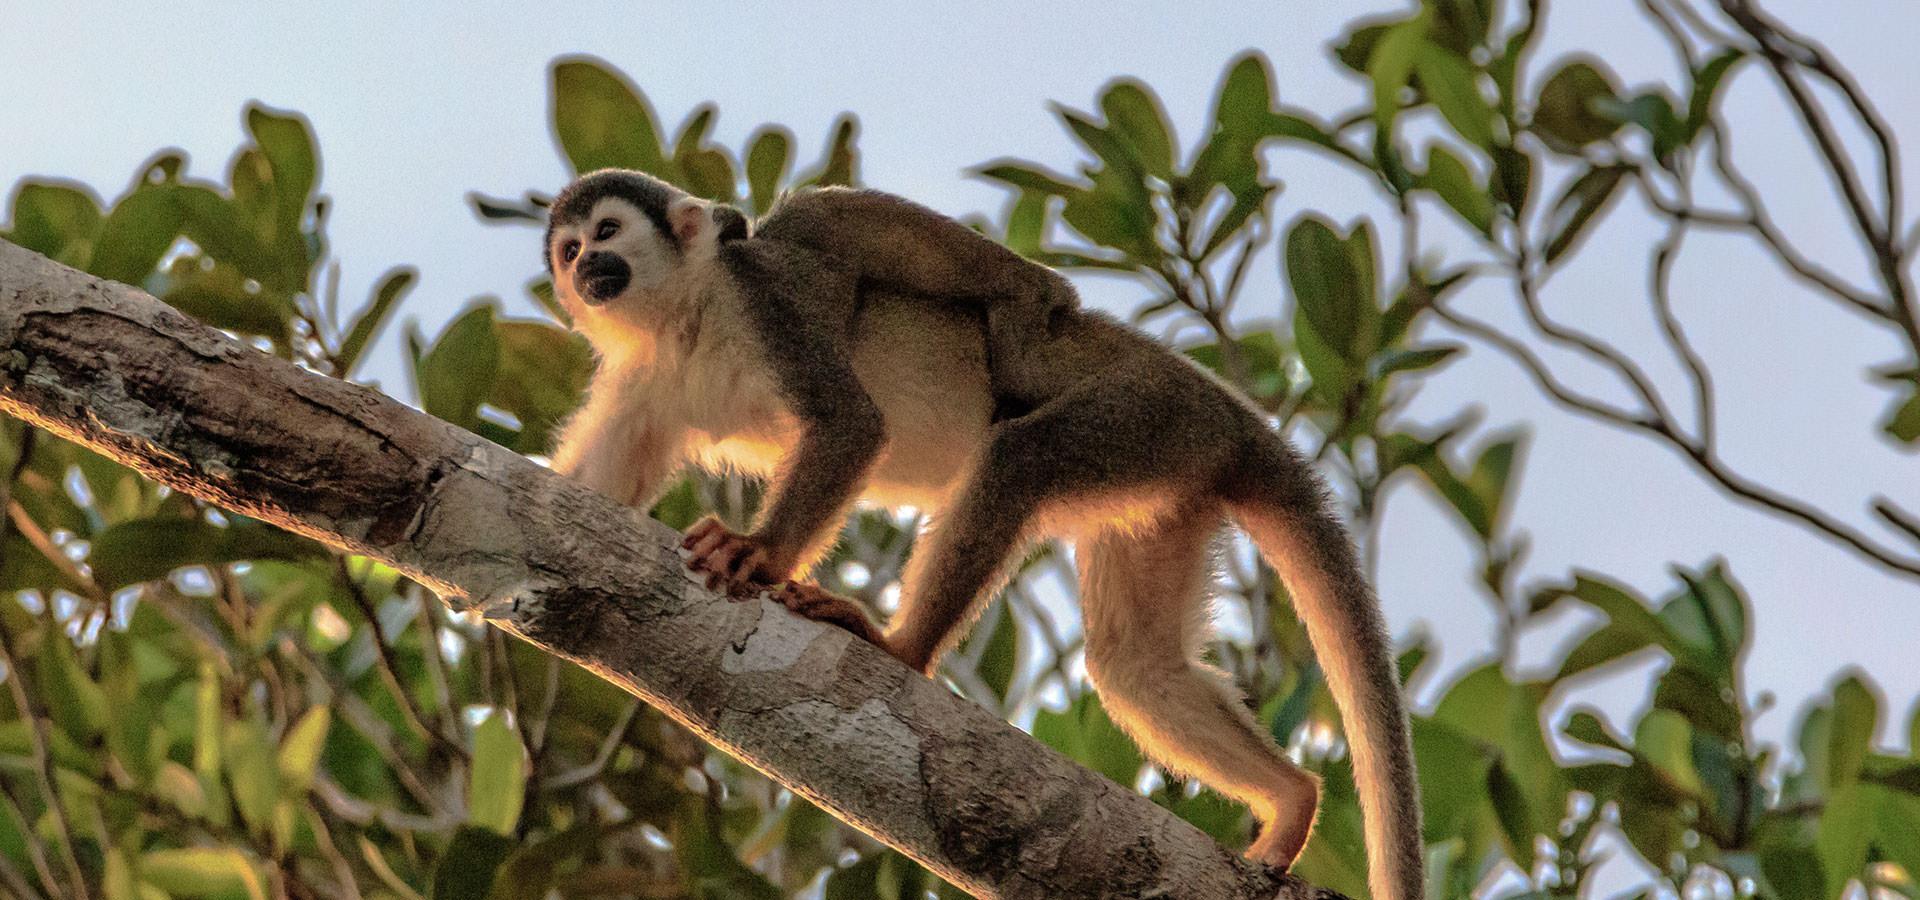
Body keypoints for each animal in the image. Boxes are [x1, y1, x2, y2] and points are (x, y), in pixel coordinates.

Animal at [541, 169, 1428, 898]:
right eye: (570, 248)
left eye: (609, 233)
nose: (586, 271)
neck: (684, 319)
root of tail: (1233, 420)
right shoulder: (642, 378)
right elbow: (587, 496)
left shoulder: (768, 300)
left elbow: (850, 423)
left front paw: (758, 553)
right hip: (1172, 478)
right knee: (1135, 668)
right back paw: (1293, 797)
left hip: (1148, 411)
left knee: (1017, 453)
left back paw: (903, 649)